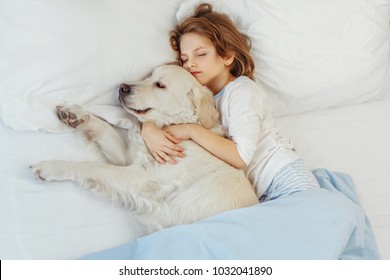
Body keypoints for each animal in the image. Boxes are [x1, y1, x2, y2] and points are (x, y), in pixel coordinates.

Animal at [31, 64, 258, 231]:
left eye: (160, 85)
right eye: (149, 75)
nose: (122, 87)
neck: (170, 127)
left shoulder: (143, 180)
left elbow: (93, 167)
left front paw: (51, 168)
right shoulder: (129, 159)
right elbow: (104, 129)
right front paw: (75, 114)